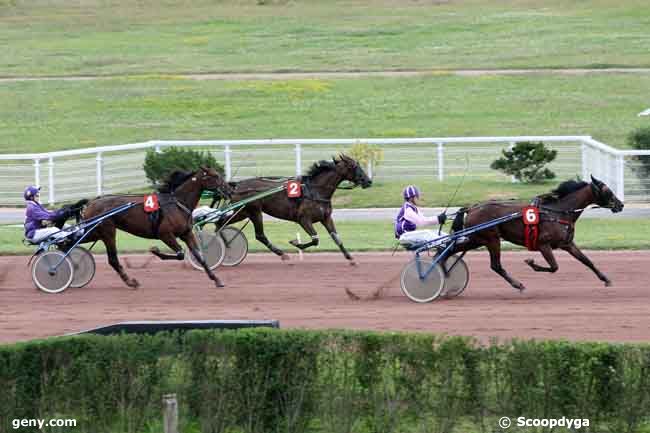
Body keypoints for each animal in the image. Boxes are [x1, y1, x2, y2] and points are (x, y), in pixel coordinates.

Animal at [81, 167, 232, 288]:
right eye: (215, 176)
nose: (230, 189)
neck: (177, 203)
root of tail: (91, 202)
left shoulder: (186, 233)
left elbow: (199, 256)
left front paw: (216, 280)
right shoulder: (164, 234)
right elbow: (180, 254)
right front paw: (155, 250)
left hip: (96, 232)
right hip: (108, 232)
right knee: (112, 259)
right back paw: (131, 282)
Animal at [216, 154, 370, 264]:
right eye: (353, 166)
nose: (368, 181)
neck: (315, 191)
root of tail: (237, 185)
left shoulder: (326, 218)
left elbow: (336, 238)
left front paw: (350, 258)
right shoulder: (303, 219)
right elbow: (315, 239)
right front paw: (296, 243)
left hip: (243, 212)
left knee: (220, 223)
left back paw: (225, 244)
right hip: (254, 212)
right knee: (259, 235)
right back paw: (282, 254)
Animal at [450, 176, 624, 290]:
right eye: (608, 191)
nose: (621, 204)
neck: (558, 212)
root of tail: (472, 207)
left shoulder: (567, 243)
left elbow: (587, 261)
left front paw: (606, 279)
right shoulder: (543, 244)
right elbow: (554, 267)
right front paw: (531, 263)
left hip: (477, 239)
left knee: (450, 250)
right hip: (492, 239)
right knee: (496, 265)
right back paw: (518, 284)